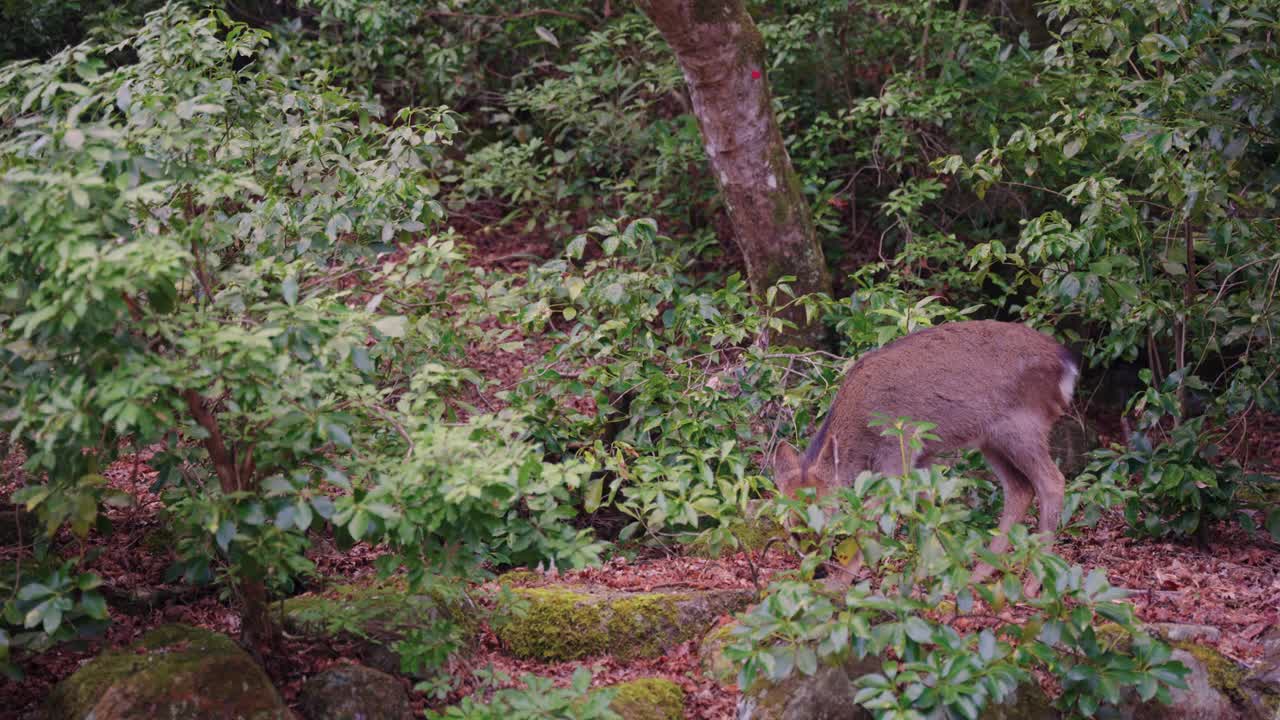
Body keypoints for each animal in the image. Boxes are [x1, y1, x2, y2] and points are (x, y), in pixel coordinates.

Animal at [768, 319, 1080, 589]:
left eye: (827, 519)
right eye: (790, 528)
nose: (818, 571)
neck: (864, 430)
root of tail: (1067, 364)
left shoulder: (900, 447)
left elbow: (872, 514)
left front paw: (840, 582)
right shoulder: (922, 456)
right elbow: (929, 511)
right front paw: (932, 572)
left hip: (1023, 425)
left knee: (1052, 481)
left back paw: (1033, 585)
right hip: (991, 439)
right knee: (1019, 488)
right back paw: (978, 576)